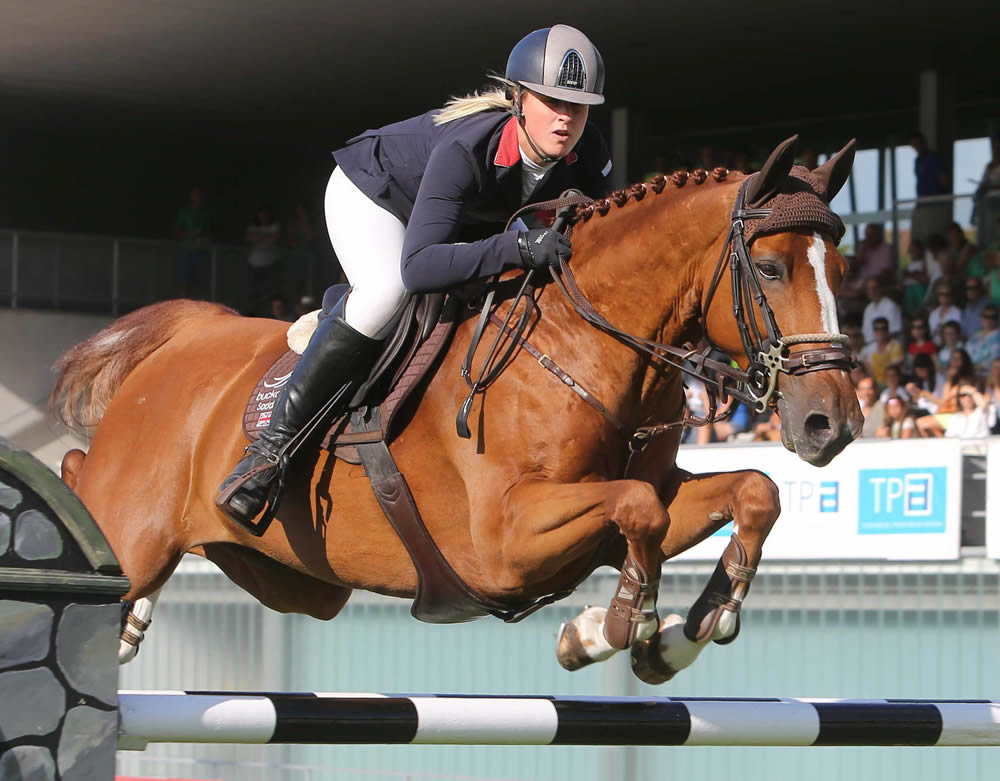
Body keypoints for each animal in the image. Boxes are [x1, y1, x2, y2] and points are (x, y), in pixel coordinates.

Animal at [50, 137, 864, 680]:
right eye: (770, 268)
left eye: (843, 267)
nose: (833, 423)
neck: (584, 341)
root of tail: (189, 332)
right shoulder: (503, 540)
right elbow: (641, 508)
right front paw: (604, 629)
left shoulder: (615, 509)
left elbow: (745, 493)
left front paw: (681, 632)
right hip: (139, 528)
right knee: (86, 486)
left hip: (295, 580)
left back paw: (133, 619)